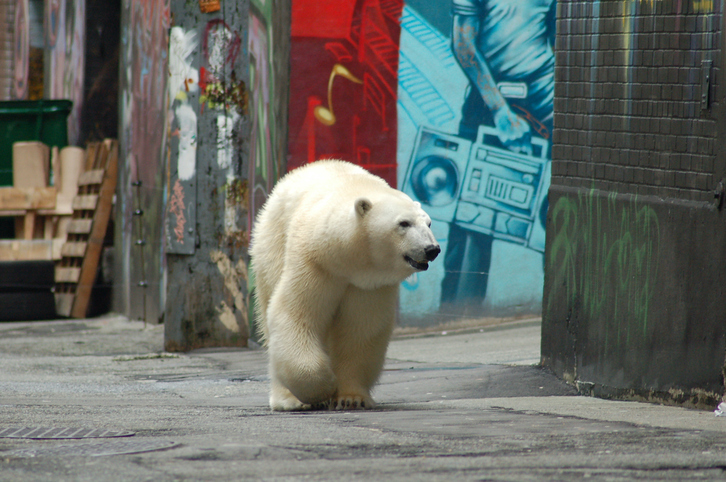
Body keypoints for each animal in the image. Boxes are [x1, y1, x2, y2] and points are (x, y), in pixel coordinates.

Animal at [250, 160, 440, 411]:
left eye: (428, 223)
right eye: (403, 223)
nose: (432, 249)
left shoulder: (369, 284)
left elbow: (360, 331)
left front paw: (350, 398)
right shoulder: (315, 262)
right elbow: (296, 313)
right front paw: (323, 387)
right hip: (272, 243)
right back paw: (288, 399)